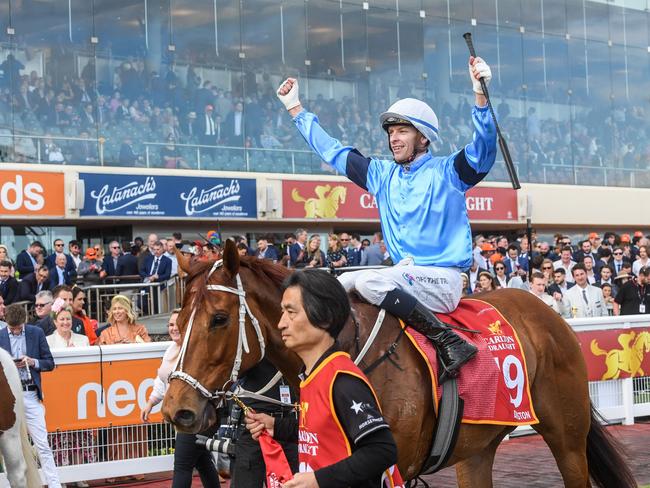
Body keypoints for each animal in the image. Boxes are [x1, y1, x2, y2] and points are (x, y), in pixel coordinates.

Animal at [162, 242, 632, 486]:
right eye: (178, 322)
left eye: (219, 319)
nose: (176, 409)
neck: (345, 346)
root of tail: (547, 313)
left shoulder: (390, 466)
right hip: (477, 447)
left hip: (567, 438)